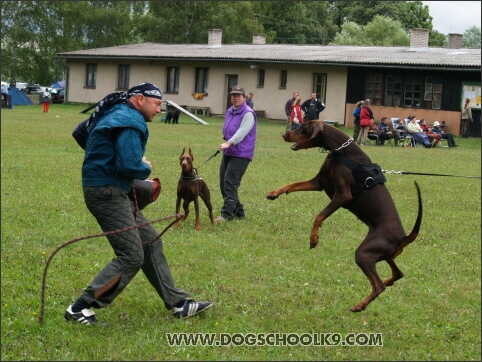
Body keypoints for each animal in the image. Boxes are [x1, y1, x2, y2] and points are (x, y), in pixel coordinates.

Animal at [268, 119, 422, 312]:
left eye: (303, 128)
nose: (284, 135)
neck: (340, 150)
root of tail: (404, 237)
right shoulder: (318, 182)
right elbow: (293, 184)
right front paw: (274, 193)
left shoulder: (342, 196)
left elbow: (319, 216)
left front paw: (314, 238)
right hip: (384, 255)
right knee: (398, 274)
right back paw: (387, 282)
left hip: (364, 253)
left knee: (378, 285)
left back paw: (360, 305)